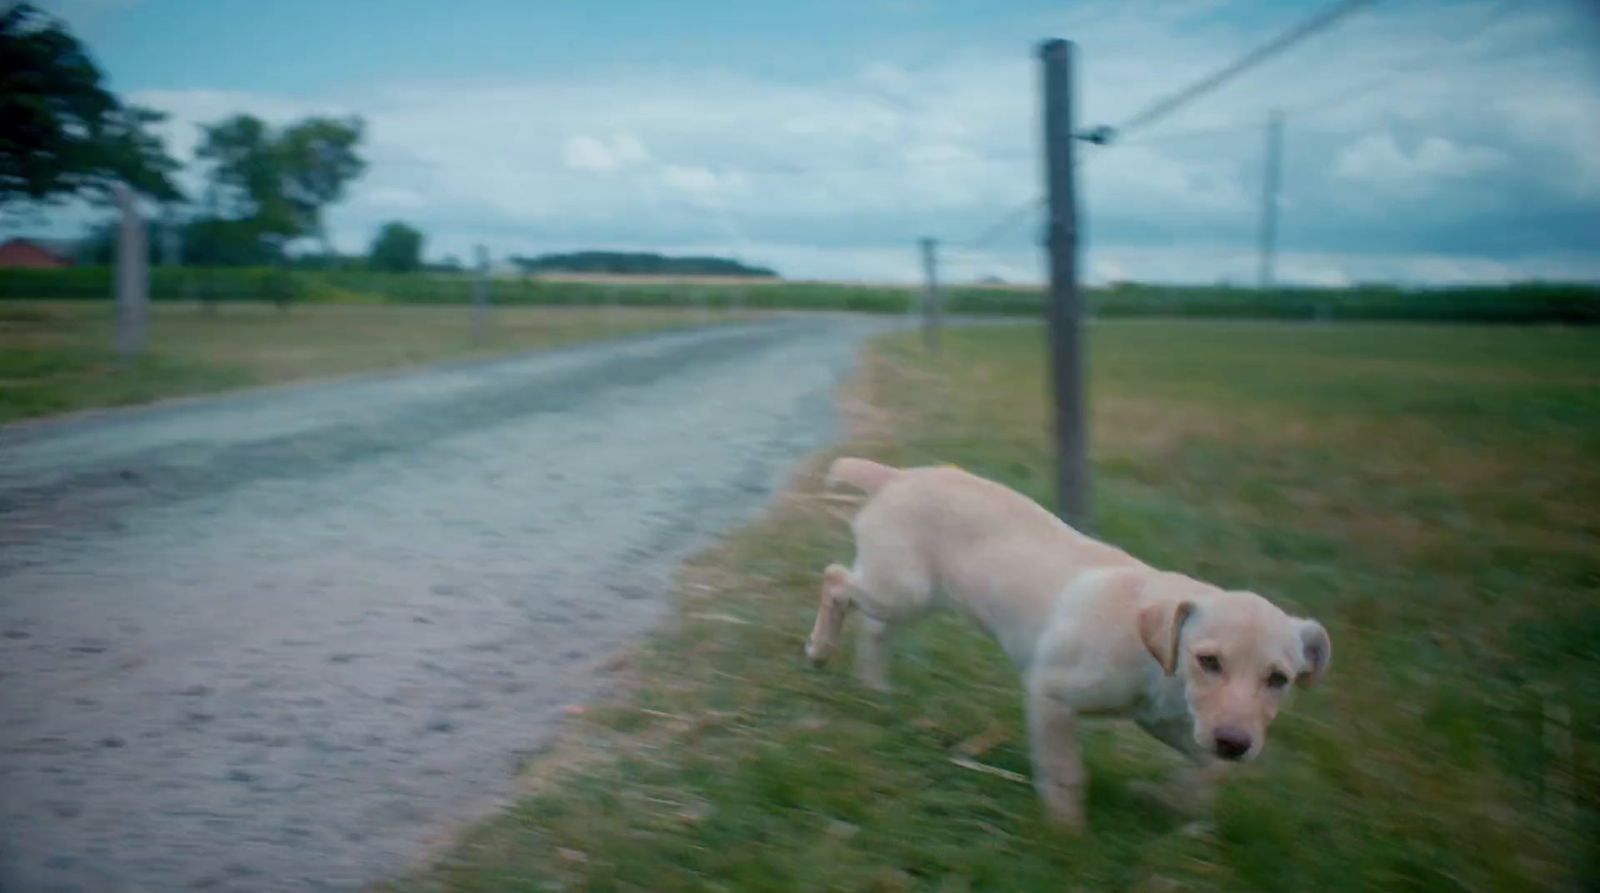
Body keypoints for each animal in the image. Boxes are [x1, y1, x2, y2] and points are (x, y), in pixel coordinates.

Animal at [806, 460, 1331, 832]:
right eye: (1209, 661)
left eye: (1278, 679)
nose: (1235, 743)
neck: (1161, 666)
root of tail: (896, 477)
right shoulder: (1051, 695)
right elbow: (1064, 772)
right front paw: (1065, 836)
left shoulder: (1175, 724)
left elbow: (1208, 772)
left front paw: (1168, 802)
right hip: (901, 589)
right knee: (834, 579)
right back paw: (819, 650)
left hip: (906, 594)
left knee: (874, 628)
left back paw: (872, 688)